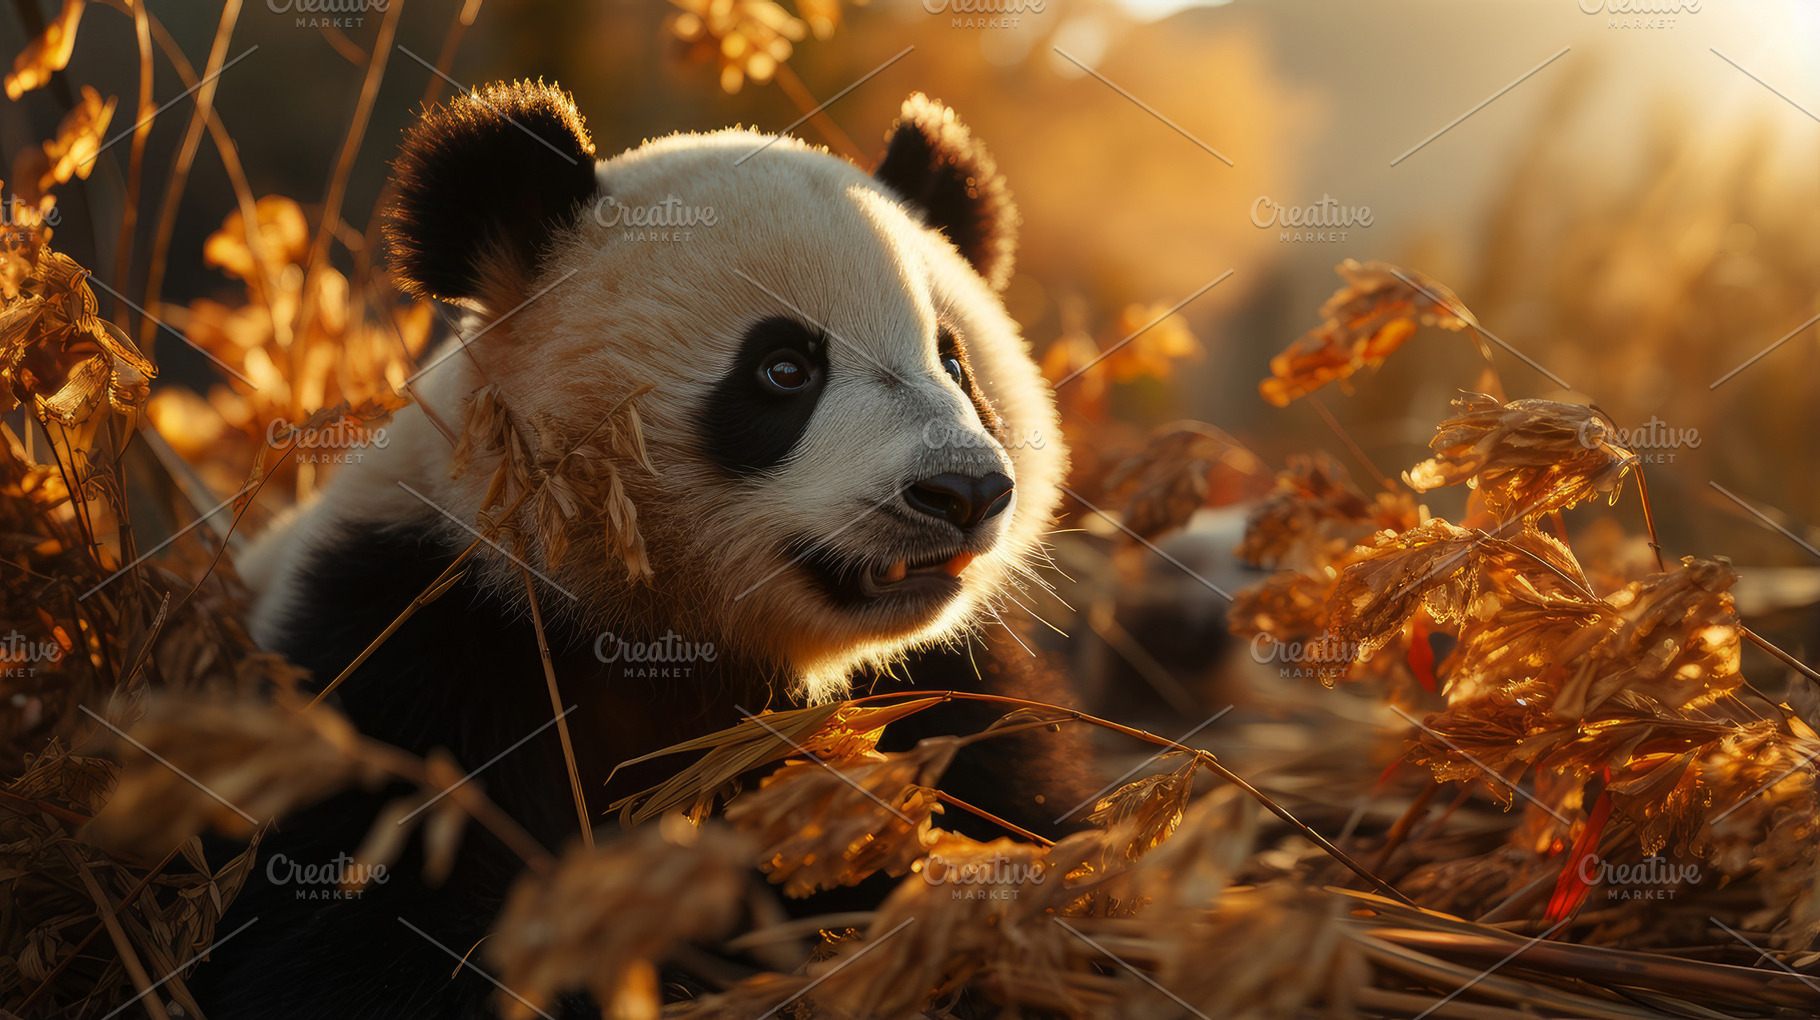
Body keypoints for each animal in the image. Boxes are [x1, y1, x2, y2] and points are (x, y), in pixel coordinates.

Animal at [193, 81, 1094, 1019]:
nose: (962, 492)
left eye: (955, 364)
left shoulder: (942, 692)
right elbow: (350, 927)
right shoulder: (412, 642)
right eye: (783, 369)